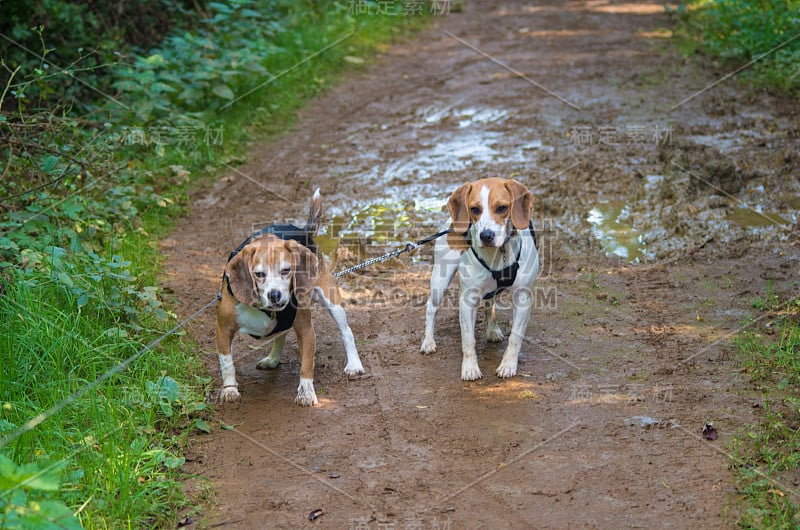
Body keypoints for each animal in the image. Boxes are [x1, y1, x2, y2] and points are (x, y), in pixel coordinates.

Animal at [212, 190, 362, 404]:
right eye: (259, 274)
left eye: (286, 270)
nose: (275, 295)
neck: (265, 309)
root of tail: (303, 230)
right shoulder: (223, 329)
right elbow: (227, 364)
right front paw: (230, 390)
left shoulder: (306, 330)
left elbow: (307, 365)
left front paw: (306, 393)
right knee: (280, 334)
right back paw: (273, 359)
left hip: (331, 300)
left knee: (346, 331)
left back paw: (354, 365)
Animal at [422, 177, 540, 380]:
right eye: (475, 209)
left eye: (502, 208)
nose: (486, 235)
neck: (499, 253)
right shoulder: (467, 300)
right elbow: (468, 338)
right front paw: (470, 368)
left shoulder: (523, 297)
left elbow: (515, 337)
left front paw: (508, 365)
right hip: (440, 280)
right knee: (431, 308)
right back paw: (428, 341)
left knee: (489, 304)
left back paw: (492, 329)